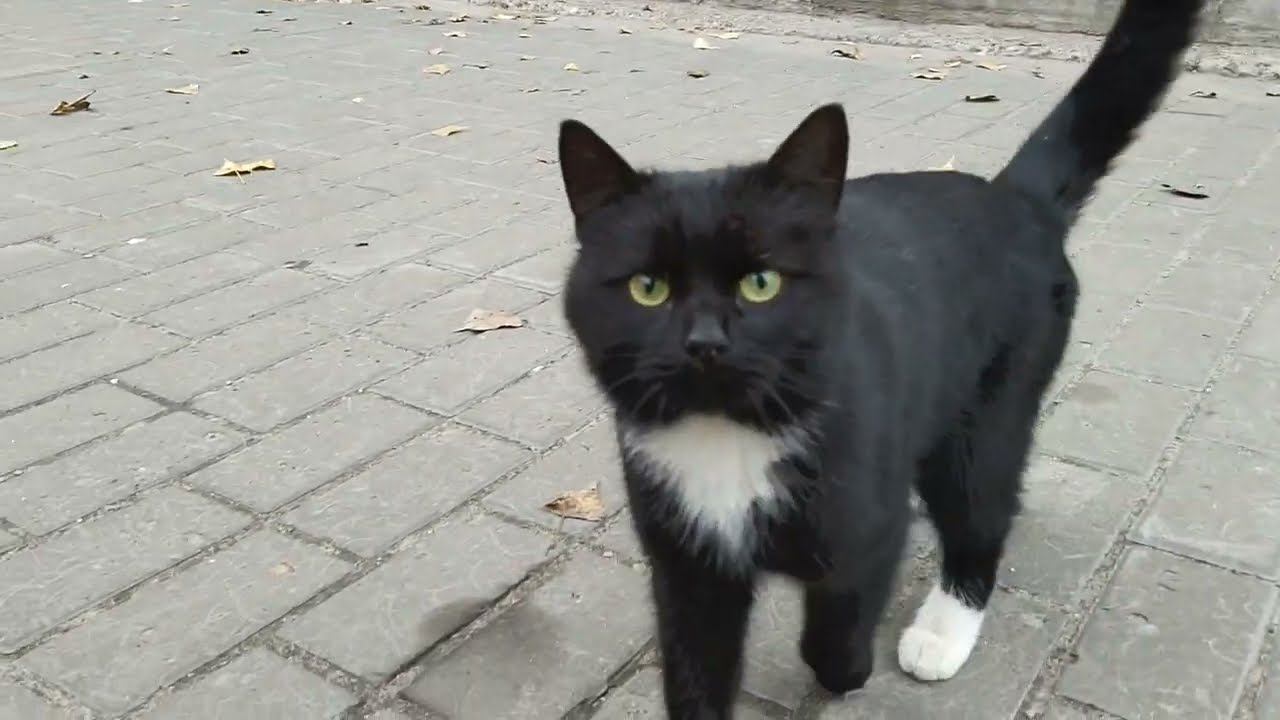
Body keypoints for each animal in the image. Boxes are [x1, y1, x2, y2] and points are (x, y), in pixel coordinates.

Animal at [556, 0, 1202, 717]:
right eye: (648, 288)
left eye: (762, 283)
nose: (704, 344)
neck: (729, 439)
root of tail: (1013, 199)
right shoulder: (686, 567)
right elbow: (694, 674)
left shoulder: (866, 524)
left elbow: (838, 619)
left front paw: (849, 669)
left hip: (990, 407)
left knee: (982, 508)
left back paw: (943, 630)